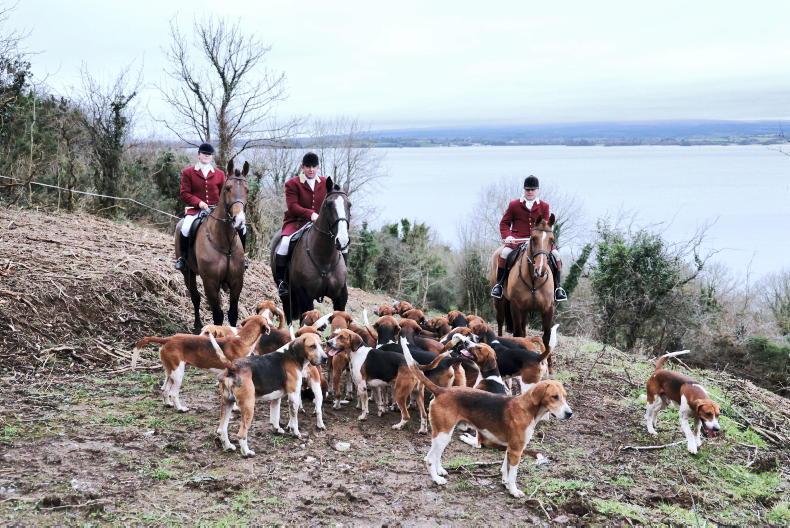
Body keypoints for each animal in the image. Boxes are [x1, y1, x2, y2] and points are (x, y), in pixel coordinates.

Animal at [133, 315, 271, 412]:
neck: (242, 340)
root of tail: (167, 339)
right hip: (178, 374)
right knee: (173, 393)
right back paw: (180, 408)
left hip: (171, 373)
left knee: (165, 390)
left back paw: (168, 403)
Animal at [175, 160, 249, 332]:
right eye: (227, 188)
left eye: (247, 190)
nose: (239, 221)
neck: (225, 243)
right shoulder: (210, 282)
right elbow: (218, 315)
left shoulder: (237, 281)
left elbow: (232, 314)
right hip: (188, 273)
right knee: (195, 297)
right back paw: (197, 326)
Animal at [270, 177, 350, 323]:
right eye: (329, 204)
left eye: (349, 205)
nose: (342, 240)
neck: (325, 259)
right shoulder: (305, 296)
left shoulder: (340, 298)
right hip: (286, 294)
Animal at [401, 338, 573, 497]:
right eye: (554, 397)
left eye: (565, 396)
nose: (569, 414)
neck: (527, 408)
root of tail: (441, 390)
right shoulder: (516, 450)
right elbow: (513, 474)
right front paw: (513, 490)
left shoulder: (510, 448)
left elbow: (505, 468)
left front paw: (505, 483)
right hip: (443, 434)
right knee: (429, 458)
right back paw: (436, 479)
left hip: (444, 434)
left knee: (437, 455)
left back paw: (440, 470)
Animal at [490, 214, 557, 371]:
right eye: (533, 238)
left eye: (552, 240)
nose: (540, 270)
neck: (534, 280)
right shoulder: (515, 306)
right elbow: (517, 333)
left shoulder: (548, 308)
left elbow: (547, 336)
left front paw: (549, 366)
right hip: (500, 301)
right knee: (500, 321)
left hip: (525, 310)